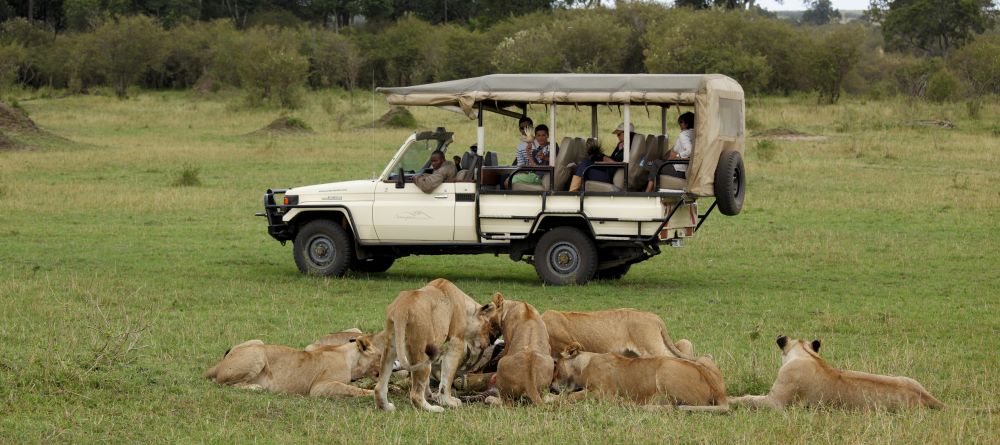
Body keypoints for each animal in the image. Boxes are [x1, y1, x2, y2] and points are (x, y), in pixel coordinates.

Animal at [204, 332, 385, 398]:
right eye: (381, 355)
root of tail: (216, 366)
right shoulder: (319, 387)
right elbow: (352, 389)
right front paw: (375, 393)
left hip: (258, 342)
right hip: (257, 354)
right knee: (224, 383)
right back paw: (255, 387)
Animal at [374, 278, 496, 413]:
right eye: (488, 327)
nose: (489, 342)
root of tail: (402, 306)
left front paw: (431, 396)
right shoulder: (456, 344)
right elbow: (447, 378)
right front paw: (448, 402)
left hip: (391, 348)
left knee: (379, 386)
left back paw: (386, 407)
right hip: (422, 351)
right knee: (415, 395)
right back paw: (434, 409)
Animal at [553, 342, 728, 412]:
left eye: (556, 367)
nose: (551, 388)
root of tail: (719, 391)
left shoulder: (604, 392)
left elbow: (572, 396)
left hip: (666, 367)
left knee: (671, 405)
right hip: (704, 359)